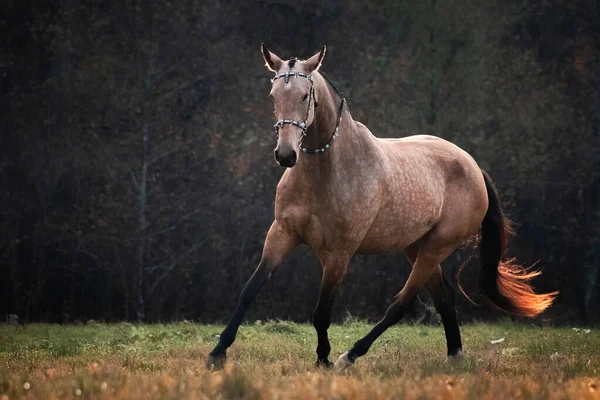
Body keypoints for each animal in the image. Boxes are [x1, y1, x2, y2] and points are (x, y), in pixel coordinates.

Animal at [205, 45, 556, 370]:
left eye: (306, 95)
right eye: (273, 95)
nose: (285, 155)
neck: (327, 172)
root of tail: (474, 168)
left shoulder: (338, 254)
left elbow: (321, 312)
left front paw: (323, 360)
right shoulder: (282, 234)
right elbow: (249, 291)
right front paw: (216, 354)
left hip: (436, 247)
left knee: (402, 303)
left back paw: (350, 356)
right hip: (416, 246)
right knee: (443, 296)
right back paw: (454, 355)